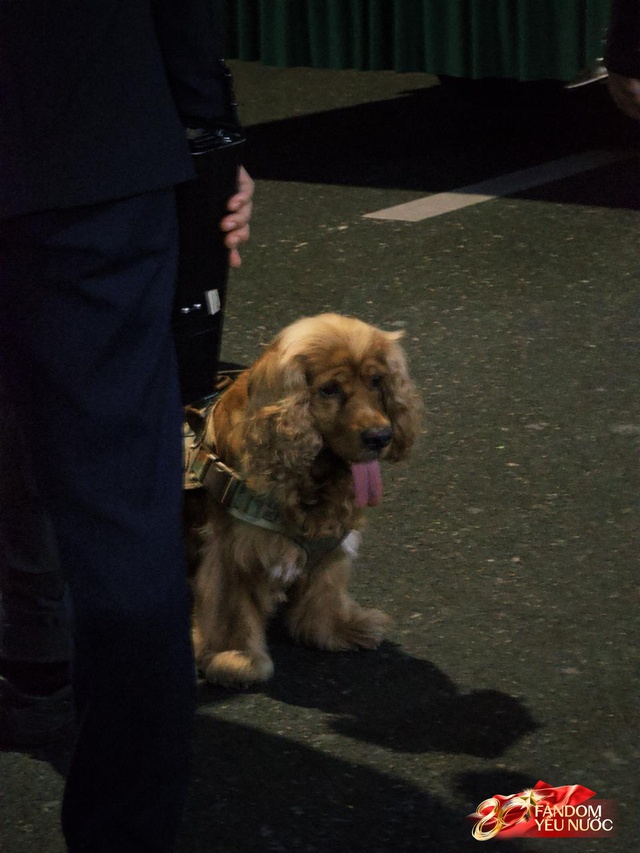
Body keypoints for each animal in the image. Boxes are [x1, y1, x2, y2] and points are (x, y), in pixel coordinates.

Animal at [185, 313, 421, 686]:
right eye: (330, 389)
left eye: (376, 380)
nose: (380, 436)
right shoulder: (233, 551)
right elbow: (230, 608)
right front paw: (235, 659)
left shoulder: (332, 538)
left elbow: (325, 589)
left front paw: (337, 628)